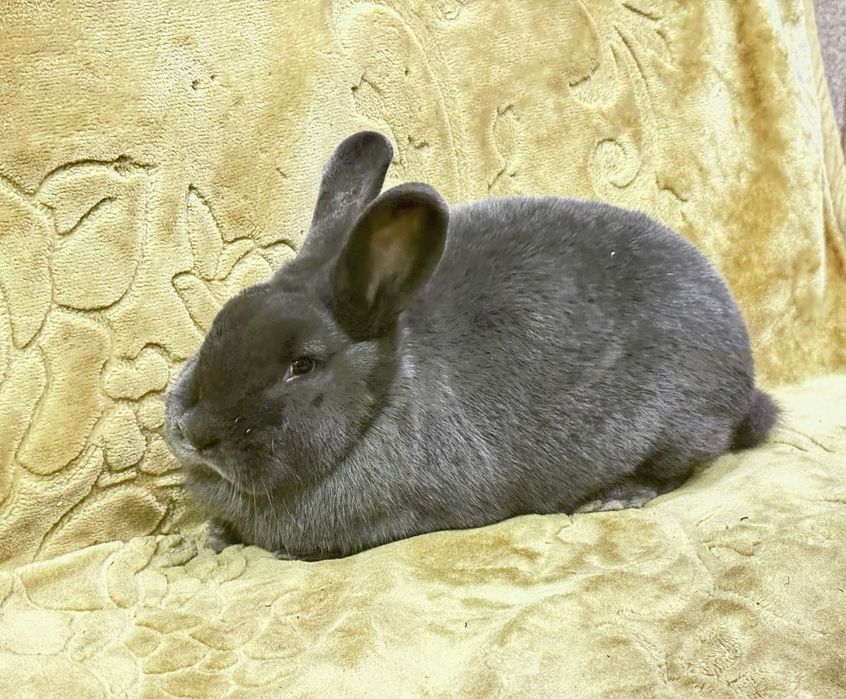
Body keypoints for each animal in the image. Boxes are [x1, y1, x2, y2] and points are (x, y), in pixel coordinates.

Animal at [164, 130, 778, 561]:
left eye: (302, 364)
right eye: (220, 323)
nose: (192, 431)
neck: (382, 404)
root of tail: (742, 371)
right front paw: (215, 536)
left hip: (676, 427)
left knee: (680, 466)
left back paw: (615, 495)